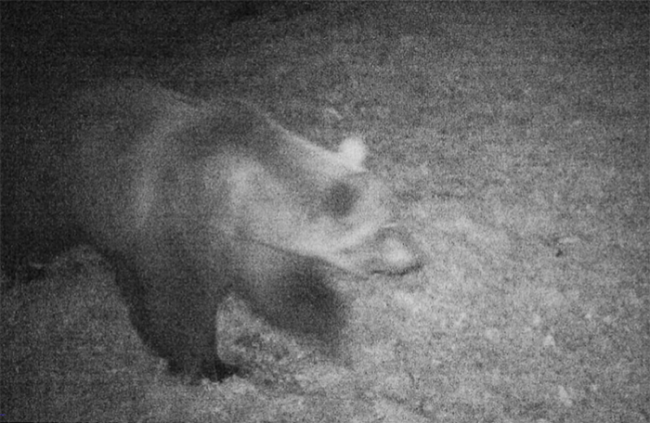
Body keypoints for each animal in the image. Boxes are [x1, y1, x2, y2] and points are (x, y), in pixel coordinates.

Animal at [0, 79, 422, 382]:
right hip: (64, 189)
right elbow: (182, 307)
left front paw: (331, 327)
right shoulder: (180, 226)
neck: (242, 199)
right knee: (35, 225)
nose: (416, 257)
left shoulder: (248, 244)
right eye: (385, 225)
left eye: (395, 212)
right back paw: (21, 267)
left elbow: (285, 293)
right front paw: (205, 365)